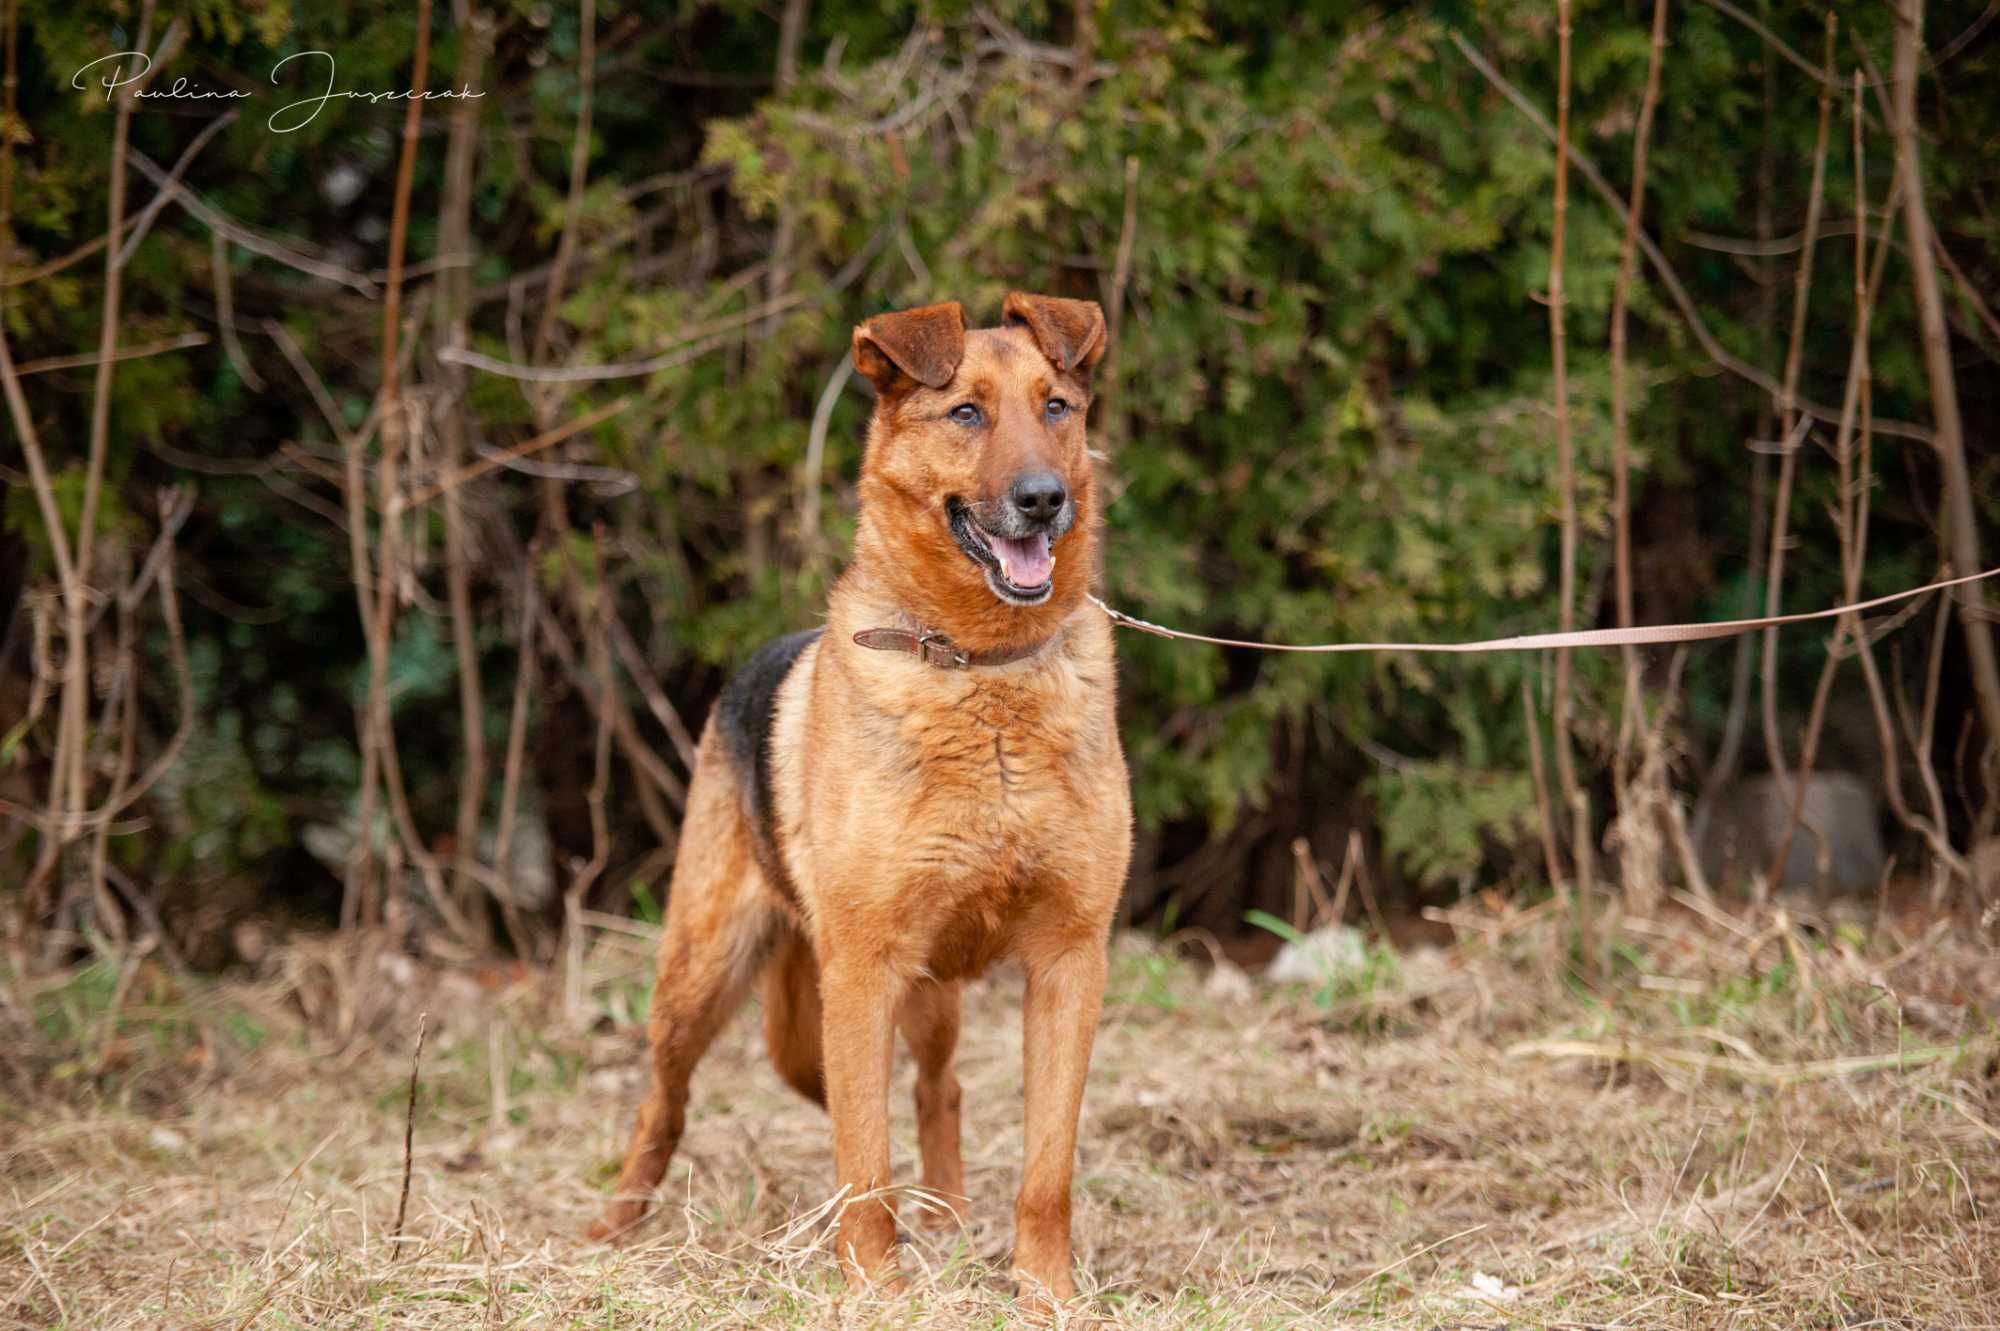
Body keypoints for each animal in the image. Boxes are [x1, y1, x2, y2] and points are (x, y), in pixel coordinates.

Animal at [584, 293, 1136, 1303]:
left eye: (1057, 407)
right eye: (965, 412)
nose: (1043, 497)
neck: (981, 668)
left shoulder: (1068, 960)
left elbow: (1046, 1170)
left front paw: (1046, 1294)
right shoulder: (864, 970)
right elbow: (864, 1160)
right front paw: (877, 1287)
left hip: (925, 992)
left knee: (937, 1086)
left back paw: (948, 1216)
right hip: (702, 976)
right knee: (663, 1103)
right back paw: (617, 1224)